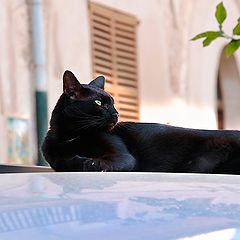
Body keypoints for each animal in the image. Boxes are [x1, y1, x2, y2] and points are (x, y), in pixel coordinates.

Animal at [42, 70, 240, 173]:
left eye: (112, 103)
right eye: (99, 103)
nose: (116, 114)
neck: (71, 136)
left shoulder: (123, 156)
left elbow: (95, 162)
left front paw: (87, 162)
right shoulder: (53, 157)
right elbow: (62, 162)